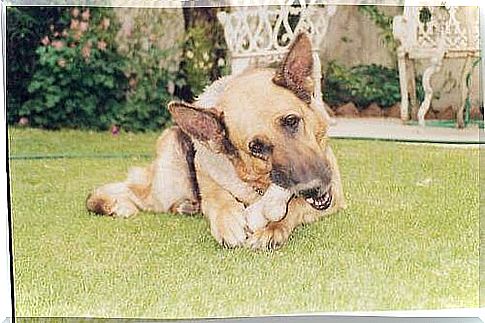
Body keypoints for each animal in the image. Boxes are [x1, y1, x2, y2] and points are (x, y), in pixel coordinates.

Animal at [86, 33, 344, 251]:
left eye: (291, 121)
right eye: (256, 148)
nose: (312, 187)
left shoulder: (335, 196)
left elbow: (295, 207)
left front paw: (272, 228)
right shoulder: (209, 179)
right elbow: (218, 200)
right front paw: (228, 221)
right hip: (167, 183)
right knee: (120, 193)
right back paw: (117, 205)